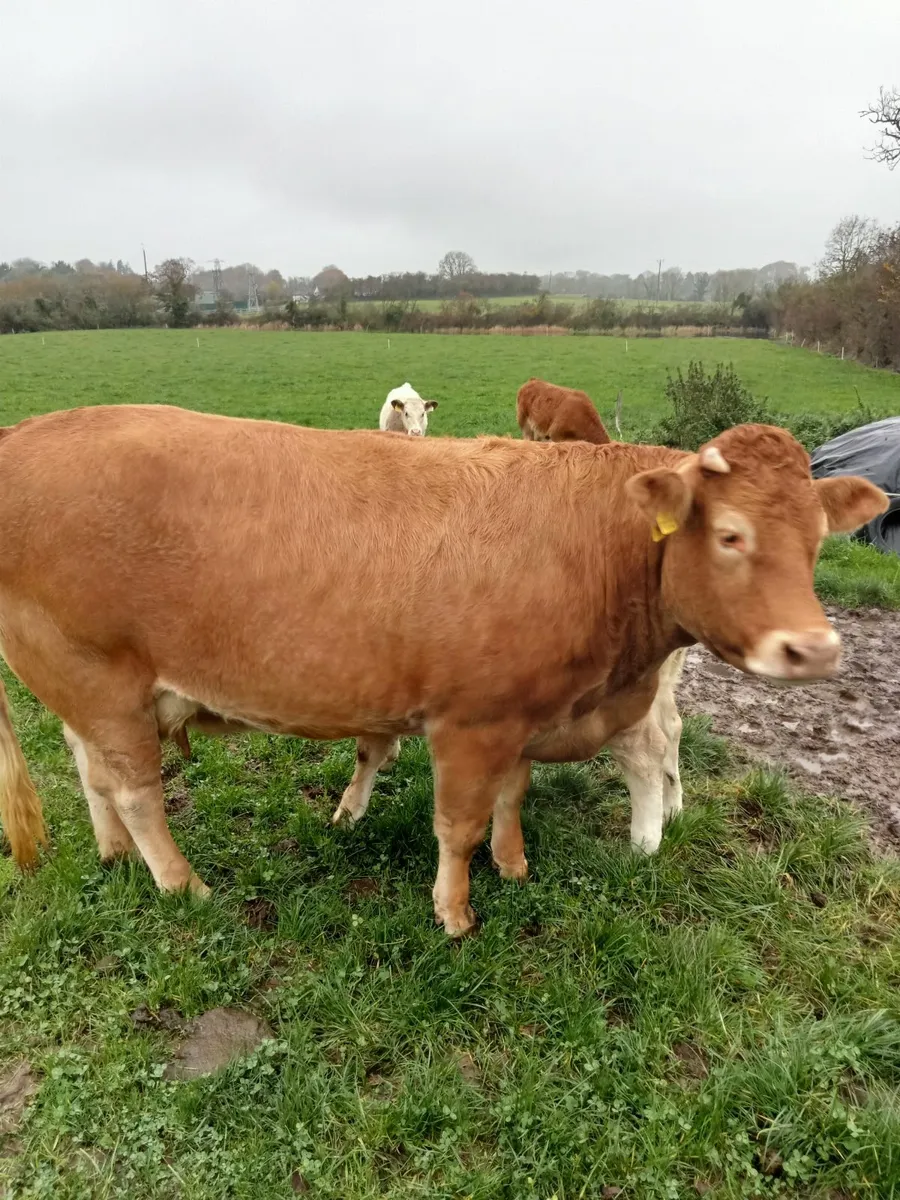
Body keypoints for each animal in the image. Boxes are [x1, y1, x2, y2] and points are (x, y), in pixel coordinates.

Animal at [0, 405, 887, 938]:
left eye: (818, 539)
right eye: (732, 534)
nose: (814, 649)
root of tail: (28, 433)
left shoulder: (521, 714)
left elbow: (511, 797)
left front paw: (513, 863)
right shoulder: (471, 721)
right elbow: (456, 823)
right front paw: (455, 910)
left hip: (83, 686)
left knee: (93, 774)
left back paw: (114, 856)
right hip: (99, 676)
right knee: (137, 791)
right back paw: (183, 886)